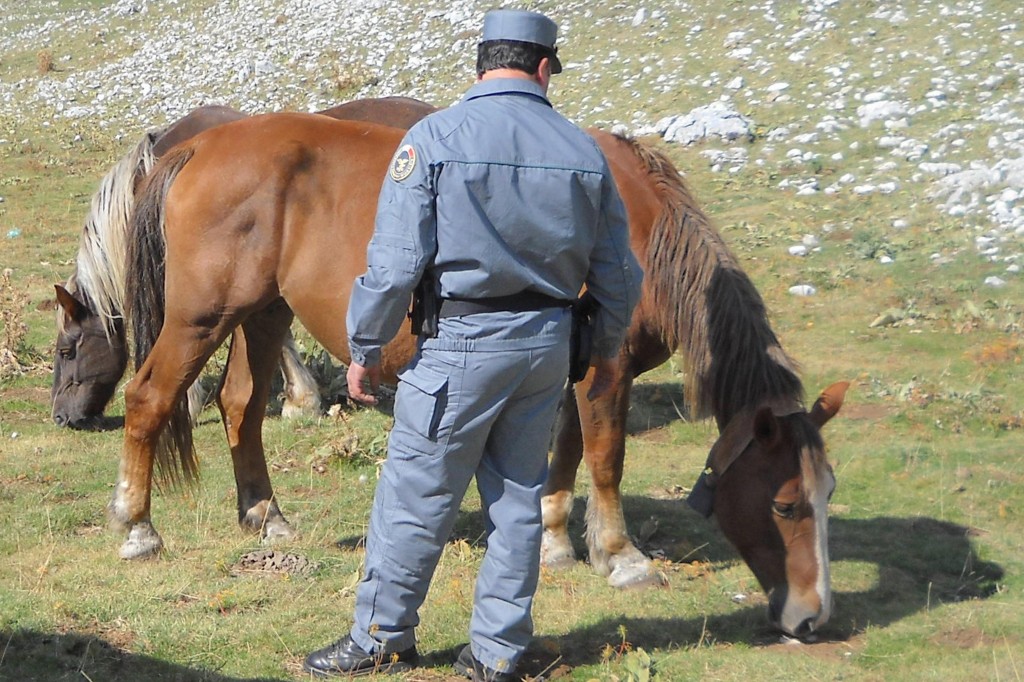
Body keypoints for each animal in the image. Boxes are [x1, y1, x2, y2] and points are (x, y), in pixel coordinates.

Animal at [54, 101, 847, 638]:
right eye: (786, 505)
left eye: (827, 493)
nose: (812, 618)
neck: (637, 225)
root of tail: (196, 145)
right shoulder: (606, 370)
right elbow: (605, 458)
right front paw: (622, 556)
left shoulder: (566, 370)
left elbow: (562, 459)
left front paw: (557, 543)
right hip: (200, 317)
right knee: (151, 399)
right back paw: (138, 527)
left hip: (262, 313)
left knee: (242, 405)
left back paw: (265, 516)